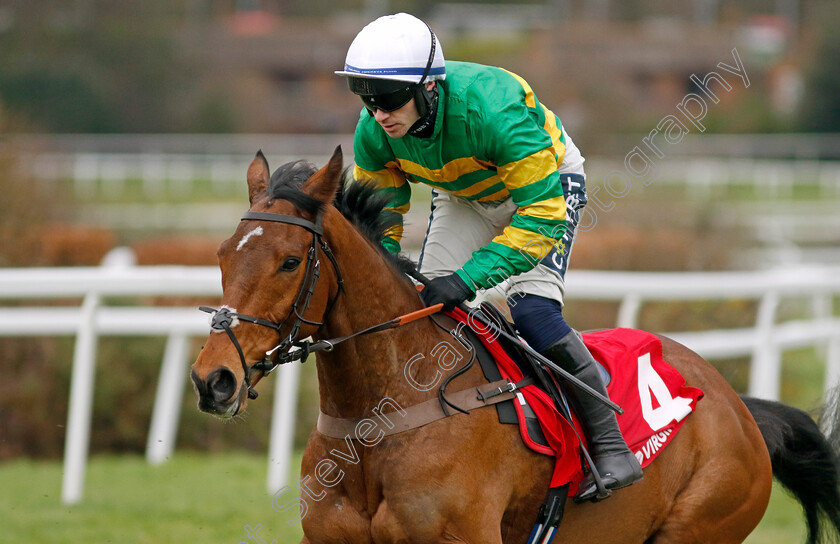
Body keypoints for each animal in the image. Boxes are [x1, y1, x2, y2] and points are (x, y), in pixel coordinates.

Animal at [190, 148, 840, 544]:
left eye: (289, 261)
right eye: (221, 254)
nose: (212, 379)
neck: (384, 415)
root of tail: (739, 407)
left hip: (702, 521)